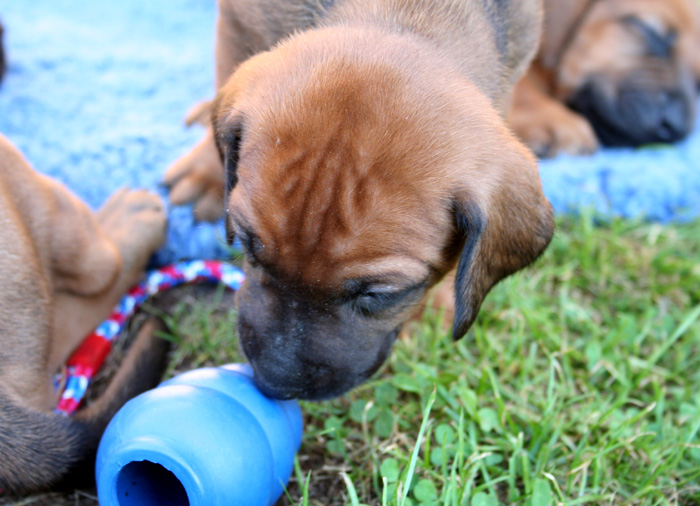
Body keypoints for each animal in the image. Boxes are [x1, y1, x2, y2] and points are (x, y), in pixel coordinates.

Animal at [167, 0, 556, 404]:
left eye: (378, 294)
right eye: (246, 246)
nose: (274, 384)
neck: (403, 16)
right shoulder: (239, 21)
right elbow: (224, 72)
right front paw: (207, 172)